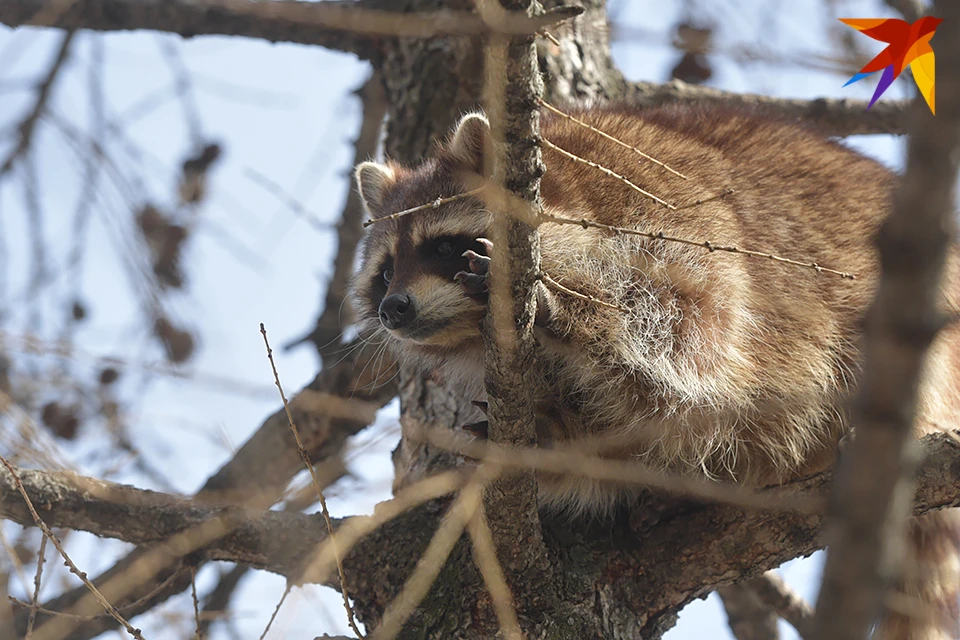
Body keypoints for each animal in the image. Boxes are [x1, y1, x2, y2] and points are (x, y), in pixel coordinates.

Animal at [348, 104, 960, 636]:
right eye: (386, 270)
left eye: (442, 246)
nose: (394, 308)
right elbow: (623, 437)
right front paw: (555, 437)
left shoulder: (677, 232)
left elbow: (687, 357)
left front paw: (574, 316)